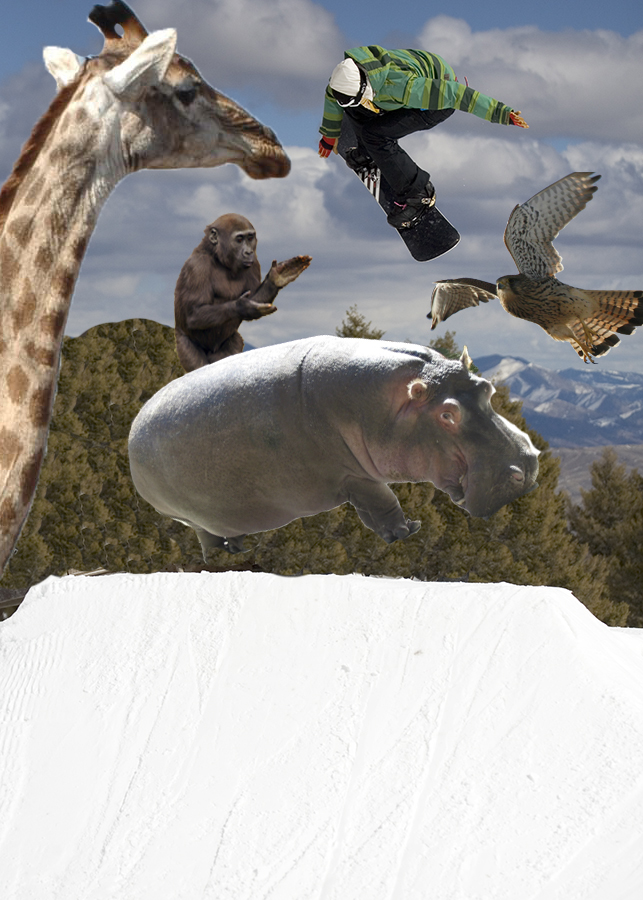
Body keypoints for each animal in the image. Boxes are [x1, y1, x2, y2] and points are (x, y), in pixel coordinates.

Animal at [128, 336, 539, 555]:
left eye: (487, 388)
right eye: (448, 414)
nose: (526, 463)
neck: (386, 404)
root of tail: (134, 427)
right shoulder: (351, 474)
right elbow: (383, 504)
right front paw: (408, 531)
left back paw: (239, 546)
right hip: (189, 517)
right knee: (205, 535)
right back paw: (225, 555)